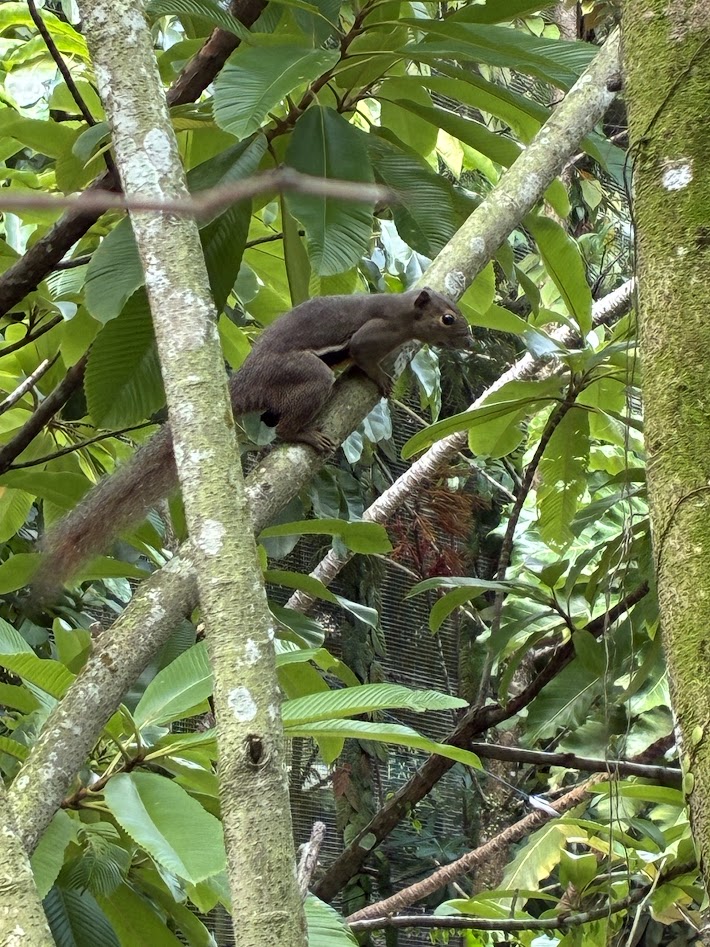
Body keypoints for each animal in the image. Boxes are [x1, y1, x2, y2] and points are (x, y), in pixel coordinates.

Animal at [36, 287, 471, 591]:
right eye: (448, 318)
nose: (469, 341)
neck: (402, 313)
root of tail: (247, 379)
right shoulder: (372, 333)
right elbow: (364, 354)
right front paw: (380, 376)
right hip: (307, 374)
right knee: (287, 424)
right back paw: (307, 434)